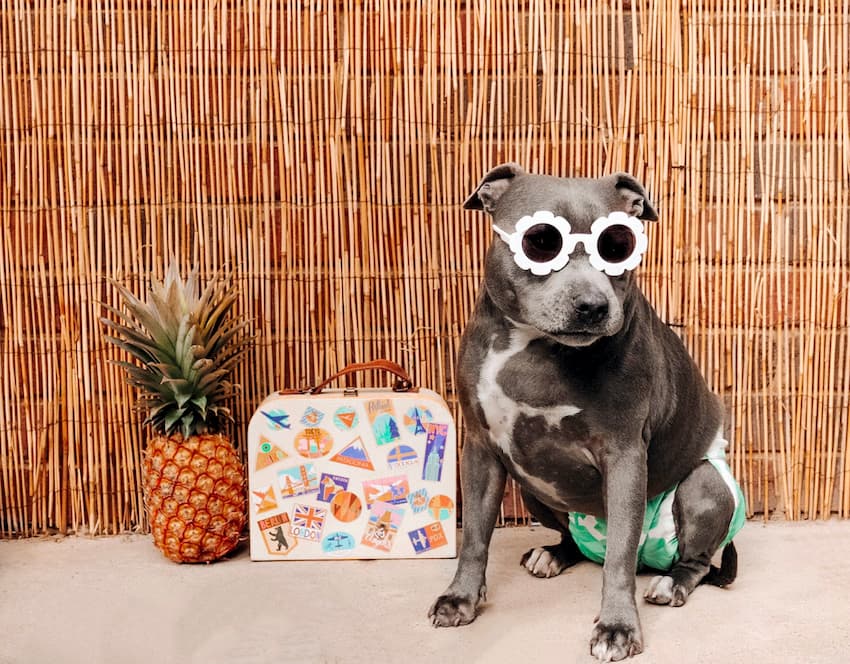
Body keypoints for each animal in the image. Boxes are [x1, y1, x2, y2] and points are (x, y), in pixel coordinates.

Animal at [430, 165, 744, 660]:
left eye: (618, 246)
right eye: (541, 241)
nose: (594, 306)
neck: (533, 347)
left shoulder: (624, 456)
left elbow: (618, 556)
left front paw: (617, 628)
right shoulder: (480, 449)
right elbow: (475, 537)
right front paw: (460, 598)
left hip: (704, 483)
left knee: (688, 560)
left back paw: (670, 583)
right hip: (533, 487)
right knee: (575, 543)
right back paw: (555, 553)